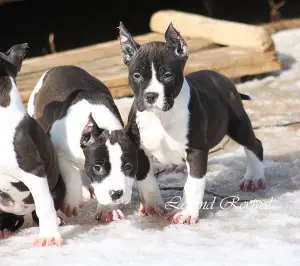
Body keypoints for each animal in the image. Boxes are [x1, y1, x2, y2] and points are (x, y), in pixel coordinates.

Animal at [27, 65, 138, 223]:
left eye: (128, 166)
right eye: (97, 168)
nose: (116, 193)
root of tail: (60, 67)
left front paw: (108, 210)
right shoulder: (55, 151)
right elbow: (71, 173)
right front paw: (71, 202)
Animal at [118, 22, 266, 224]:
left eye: (167, 75)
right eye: (137, 75)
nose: (150, 96)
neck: (161, 116)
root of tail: (221, 77)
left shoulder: (196, 151)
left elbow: (193, 183)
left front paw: (186, 212)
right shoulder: (139, 148)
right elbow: (146, 179)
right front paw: (152, 205)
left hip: (237, 125)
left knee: (254, 145)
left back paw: (254, 178)